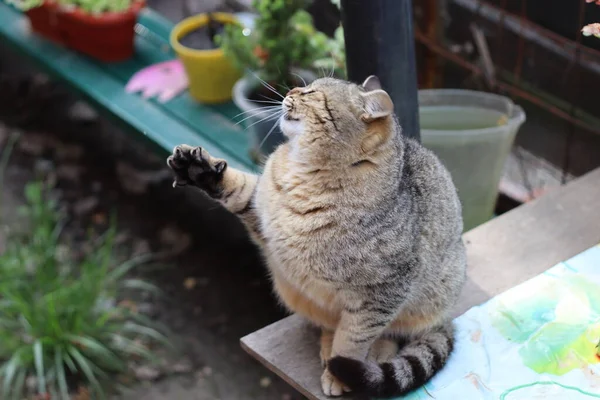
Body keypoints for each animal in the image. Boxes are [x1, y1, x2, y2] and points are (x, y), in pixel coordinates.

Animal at [166, 76, 466, 396]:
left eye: (312, 93)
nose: (290, 90)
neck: (305, 175)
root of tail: (446, 319)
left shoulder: (381, 296)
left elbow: (352, 341)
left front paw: (338, 373)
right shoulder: (261, 215)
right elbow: (238, 189)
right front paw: (201, 170)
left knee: (388, 335)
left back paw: (371, 354)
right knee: (330, 324)